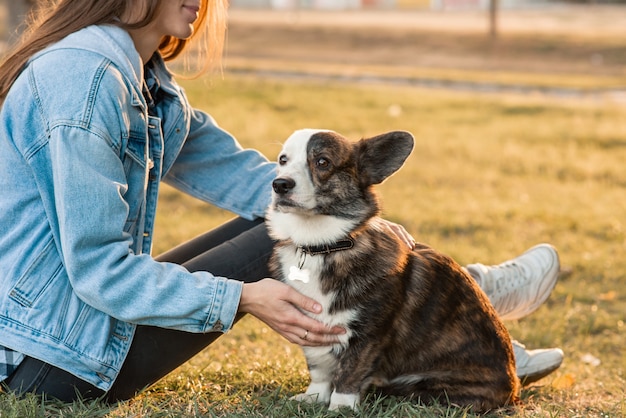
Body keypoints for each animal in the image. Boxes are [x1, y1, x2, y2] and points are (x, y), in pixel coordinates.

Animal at [266, 130, 520, 412]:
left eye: (322, 162)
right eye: (283, 160)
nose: (279, 184)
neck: (322, 247)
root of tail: (513, 388)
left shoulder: (367, 335)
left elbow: (349, 375)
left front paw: (340, 408)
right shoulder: (311, 330)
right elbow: (319, 369)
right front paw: (313, 397)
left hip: (425, 388)